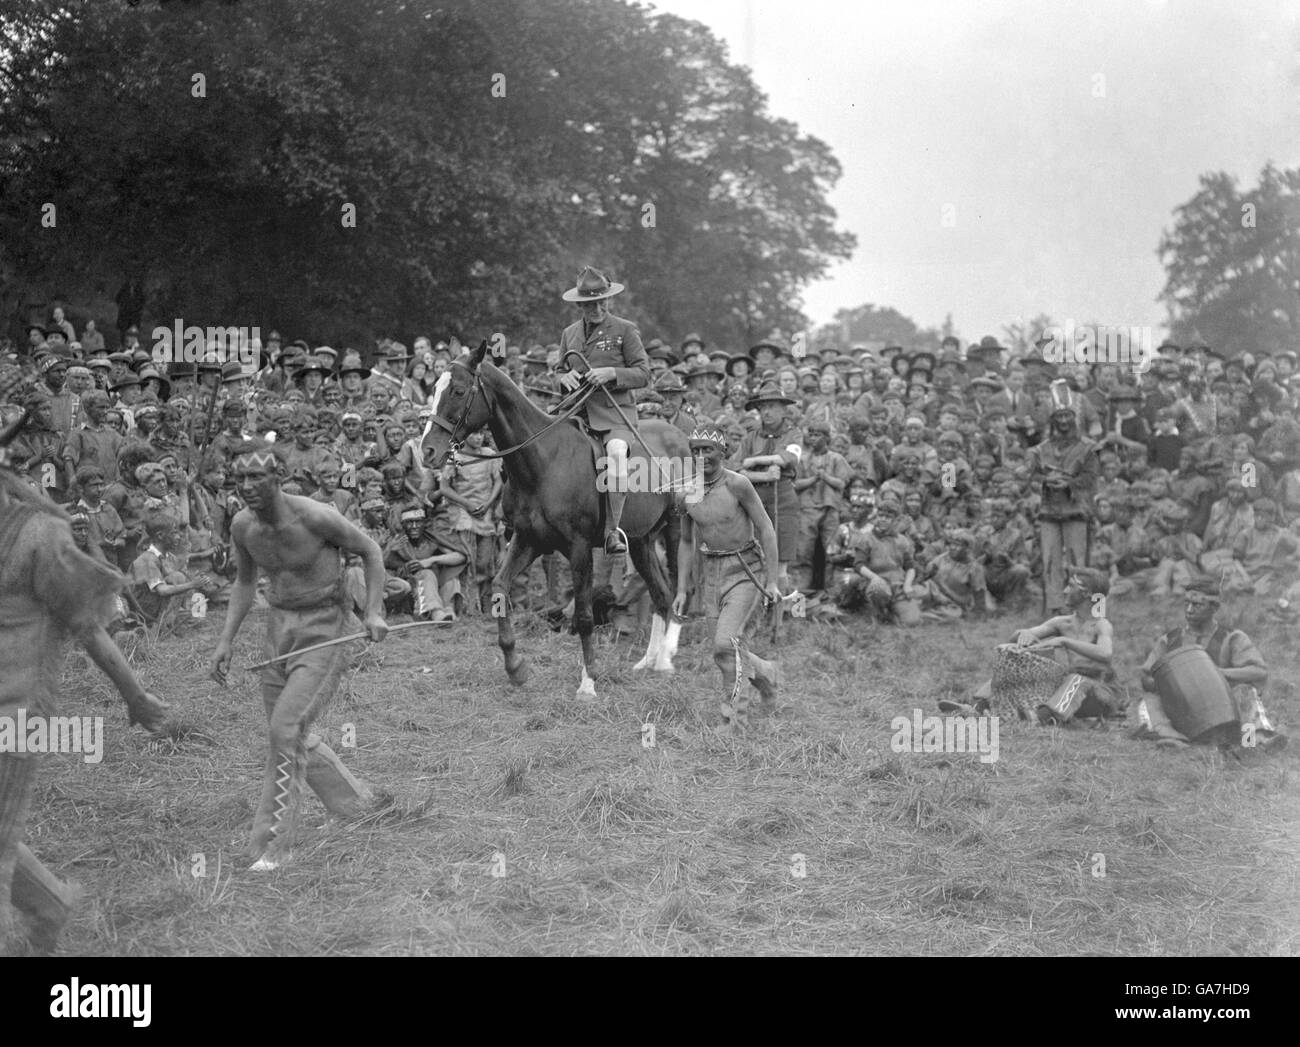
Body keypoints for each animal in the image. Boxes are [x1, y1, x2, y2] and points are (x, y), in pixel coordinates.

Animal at [423, 343, 691, 697]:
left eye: (457, 390)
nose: (427, 451)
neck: (542, 460)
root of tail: (679, 435)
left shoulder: (579, 548)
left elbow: (584, 615)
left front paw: (588, 682)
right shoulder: (528, 539)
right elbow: (499, 588)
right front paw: (516, 668)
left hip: (674, 530)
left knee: (676, 590)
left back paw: (668, 655)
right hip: (641, 541)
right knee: (660, 593)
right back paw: (652, 661)